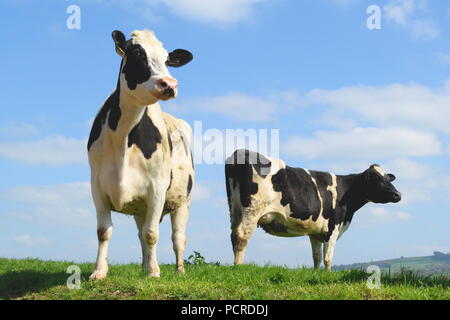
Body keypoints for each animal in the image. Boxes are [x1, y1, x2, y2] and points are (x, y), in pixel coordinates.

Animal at [87, 30, 193, 280]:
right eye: (137, 53)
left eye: (167, 60)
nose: (169, 84)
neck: (123, 138)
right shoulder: (97, 185)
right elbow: (103, 231)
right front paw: (99, 271)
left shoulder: (157, 188)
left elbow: (152, 233)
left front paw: (154, 272)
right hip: (140, 207)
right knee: (141, 232)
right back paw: (145, 265)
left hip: (183, 201)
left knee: (178, 238)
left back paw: (178, 270)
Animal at [225, 150, 400, 270]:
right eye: (376, 178)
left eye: (388, 178)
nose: (398, 194)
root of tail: (240, 152)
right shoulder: (333, 227)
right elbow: (328, 257)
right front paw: (328, 275)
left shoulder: (315, 232)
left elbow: (317, 257)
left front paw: (316, 273)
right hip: (252, 209)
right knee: (242, 236)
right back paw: (238, 267)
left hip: (234, 209)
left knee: (234, 234)